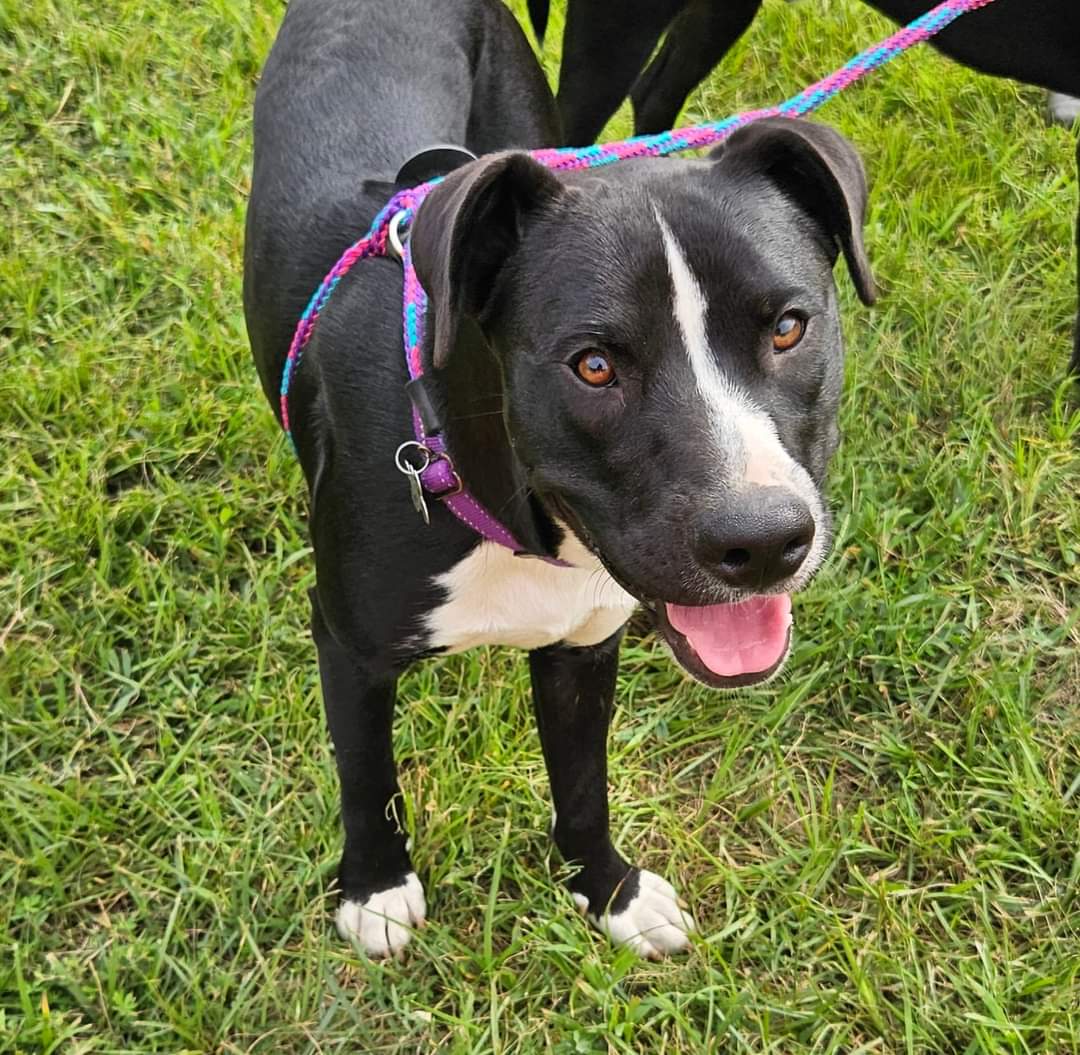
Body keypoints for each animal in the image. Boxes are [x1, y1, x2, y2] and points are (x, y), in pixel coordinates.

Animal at [243, 0, 868, 958]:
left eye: (789, 327)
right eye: (594, 366)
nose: (764, 542)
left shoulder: (583, 645)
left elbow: (582, 785)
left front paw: (608, 891)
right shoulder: (349, 646)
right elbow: (366, 773)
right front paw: (375, 889)